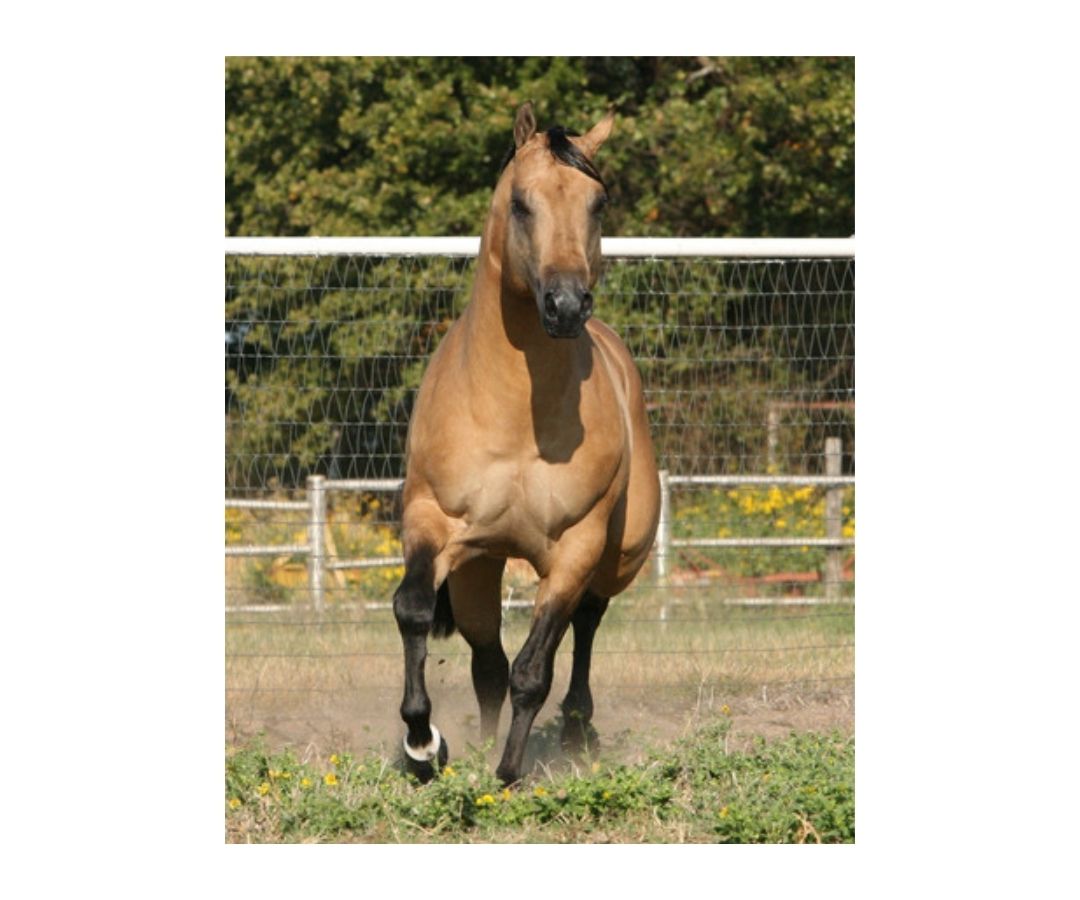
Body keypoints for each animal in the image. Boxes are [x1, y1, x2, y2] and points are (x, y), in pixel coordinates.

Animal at [392, 102, 660, 786]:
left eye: (597, 202)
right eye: (521, 203)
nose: (565, 304)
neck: (515, 416)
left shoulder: (576, 549)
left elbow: (534, 670)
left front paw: (508, 774)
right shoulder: (432, 522)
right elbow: (413, 609)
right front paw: (423, 743)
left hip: (614, 557)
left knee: (583, 627)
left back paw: (575, 731)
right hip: (480, 567)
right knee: (488, 657)